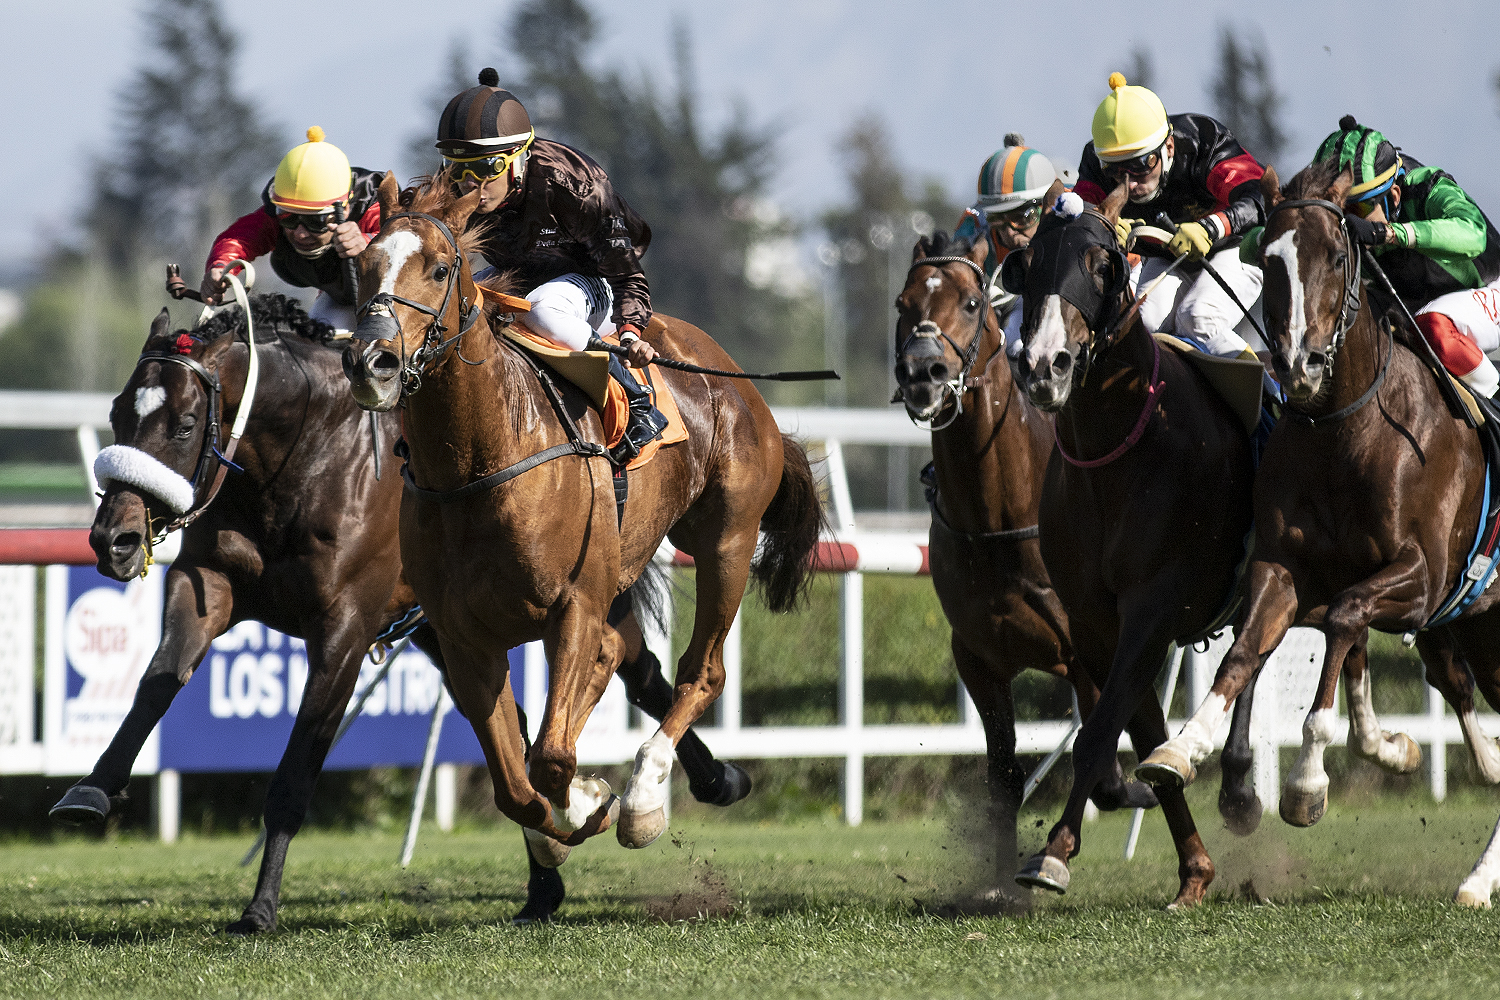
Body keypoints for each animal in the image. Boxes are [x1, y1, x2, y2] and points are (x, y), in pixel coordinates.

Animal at [51, 292, 747, 933]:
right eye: (118, 412)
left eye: (186, 423)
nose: (113, 539)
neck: (302, 461)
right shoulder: (207, 583)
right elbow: (156, 682)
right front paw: (92, 788)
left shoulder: (345, 628)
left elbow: (297, 769)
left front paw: (261, 907)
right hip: (445, 630)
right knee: (528, 720)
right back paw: (554, 869)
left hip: (577, 593)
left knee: (641, 673)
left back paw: (702, 783)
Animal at [342, 173, 823, 857]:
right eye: (362, 268)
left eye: (437, 269)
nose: (370, 362)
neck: (480, 464)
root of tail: (731, 375)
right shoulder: (463, 636)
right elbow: (515, 784)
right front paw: (570, 813)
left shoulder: (573, 605)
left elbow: (548, 760)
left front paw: (596, 803)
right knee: (616, 657)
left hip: (726, 539)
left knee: (702, 672)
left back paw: (645, 797)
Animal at [892, 230, 1159, 894]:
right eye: (902, 305)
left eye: (969, 303)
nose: (922, 372)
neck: (997, 520)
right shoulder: (979, 656)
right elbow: (1004, 776)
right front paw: (996, 881)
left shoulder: (1085, 650)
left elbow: (1103, 759)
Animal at [1002, 181, 1257, 908]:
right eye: (1030, 264)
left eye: (1100, 263)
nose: (1046, 366)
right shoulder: (1095, 619)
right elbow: (1134, 726)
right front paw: (1193, 869)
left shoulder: (1154, 605)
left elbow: (1102, 730)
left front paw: (1055, 852)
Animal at [1136, 162, 1500, 907]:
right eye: (1267, 260)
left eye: (1337, 256)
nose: (1298, 366)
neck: (1347, 430)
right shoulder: (1283, 567)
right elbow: (1244, 652)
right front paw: (1180, 751)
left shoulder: (1422, 580)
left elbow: (1344, 621)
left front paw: (1306, 783)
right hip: (1479, 623)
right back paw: (1481, 864)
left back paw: (1479, 876)